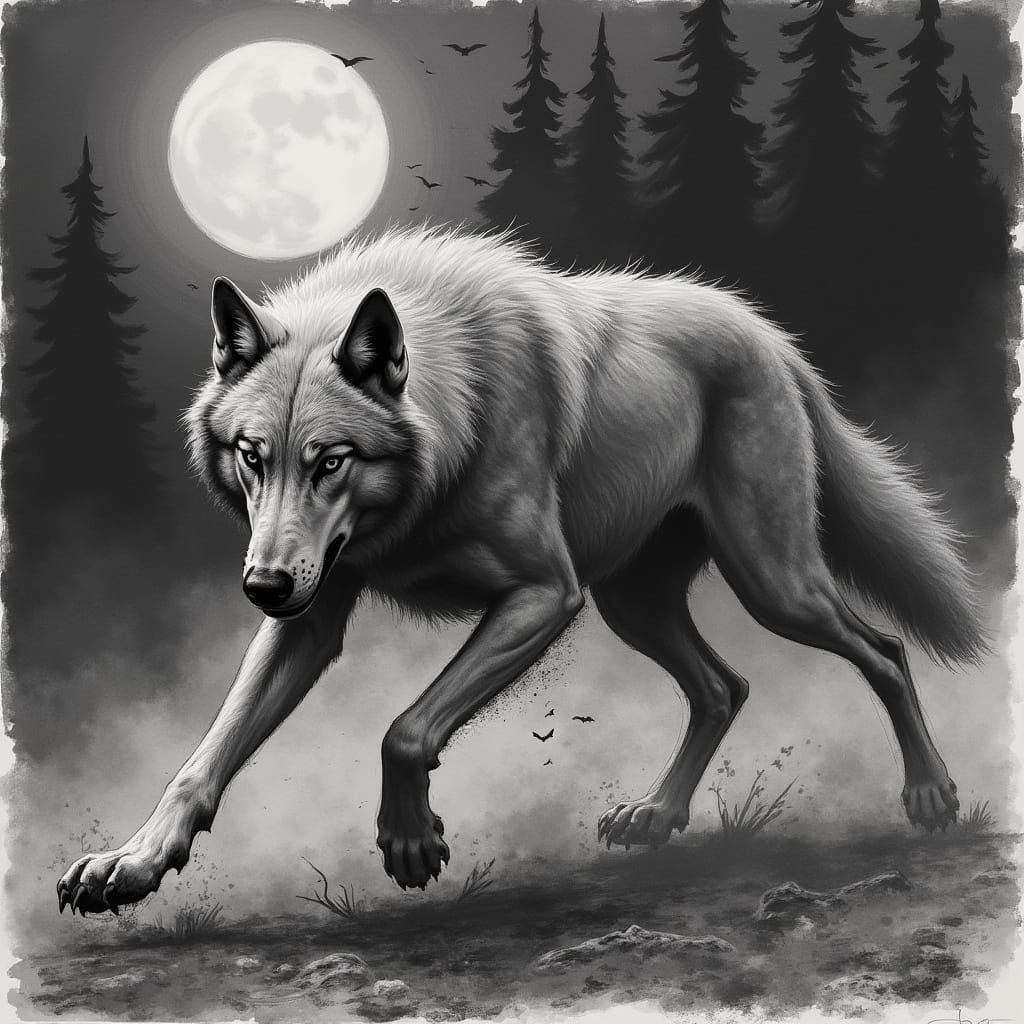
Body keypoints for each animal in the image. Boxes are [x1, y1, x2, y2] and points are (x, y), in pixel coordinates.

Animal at [58, 227, 984, 914]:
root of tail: (769, 335)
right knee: (725, 687)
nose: (262, 588)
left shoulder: (542, 594)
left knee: (883, 650)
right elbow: (203, 760)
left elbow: (405, 728)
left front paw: (410, 842)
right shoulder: (312, 619)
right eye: (254, 456)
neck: (448, 426)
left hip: (768, 584)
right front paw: (131, 864)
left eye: (331, 461)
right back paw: (657, 817)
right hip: (633, 605)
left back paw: (933, 795)